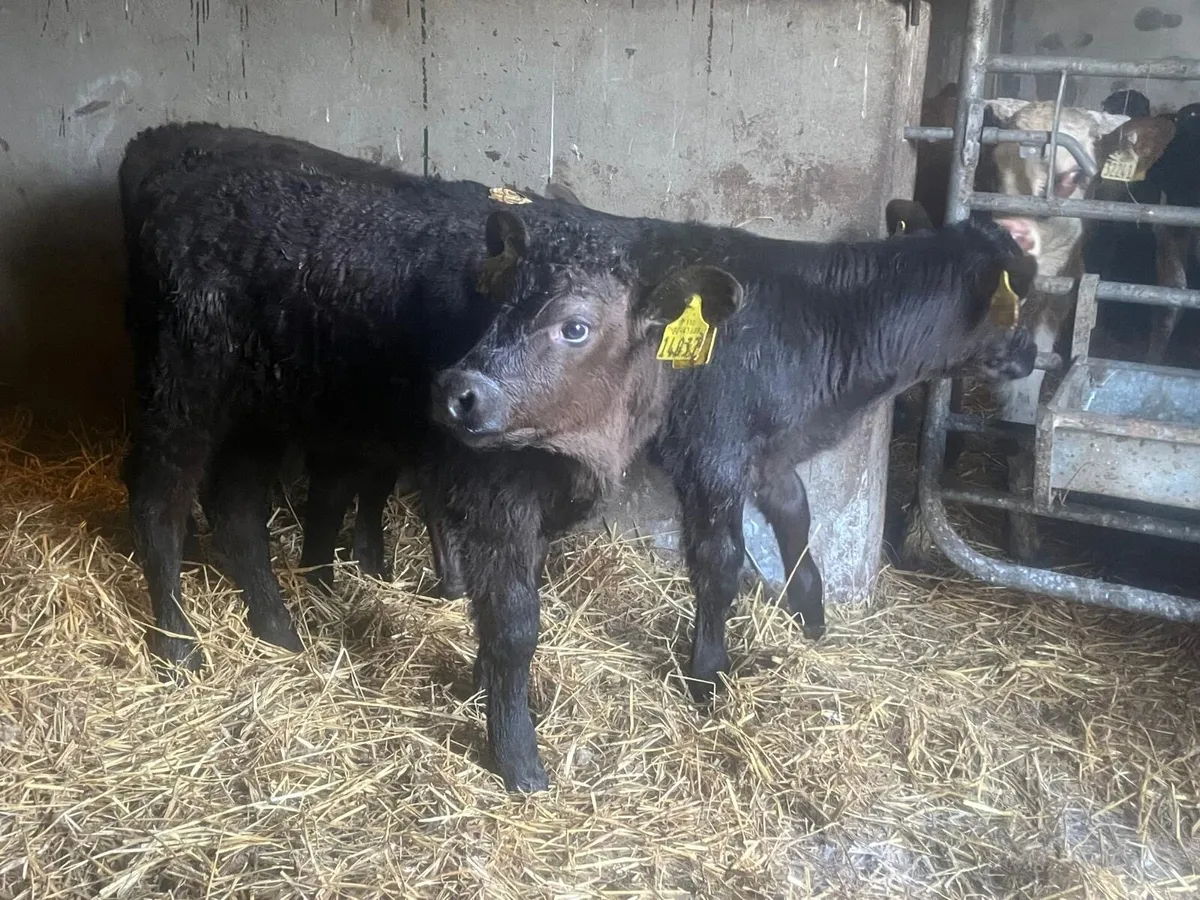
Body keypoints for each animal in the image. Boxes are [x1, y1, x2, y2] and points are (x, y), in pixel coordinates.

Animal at [431, 202, 1039, 717]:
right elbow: (720, 564)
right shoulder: (713, 455)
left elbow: (797, 522)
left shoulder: (771, 456)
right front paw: (708, 673)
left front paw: (811, 619)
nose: (1035, 355)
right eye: (1022, 296)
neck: (822, 324)